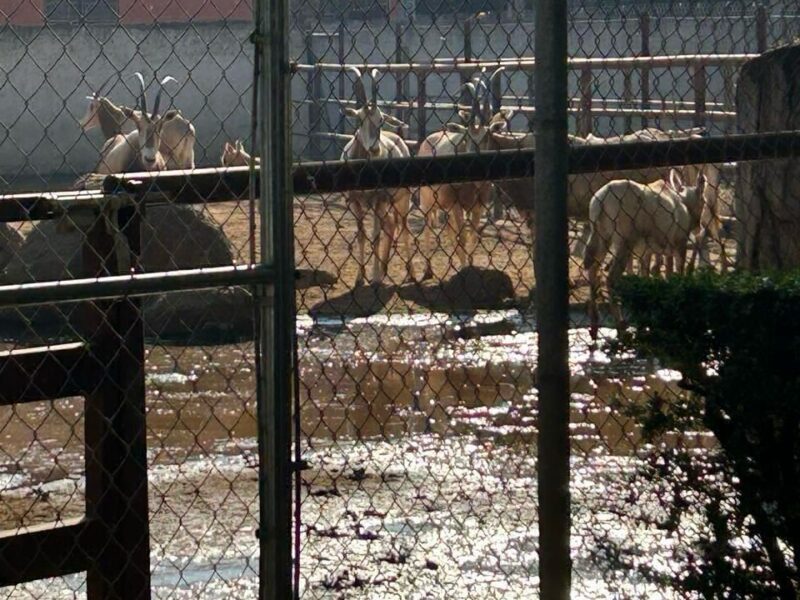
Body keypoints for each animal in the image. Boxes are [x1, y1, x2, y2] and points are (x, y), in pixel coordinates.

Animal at [340, 67, 416, 288]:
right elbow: (361, 236)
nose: (375, 149)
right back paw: (383, 270)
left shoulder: (376, 200)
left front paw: (373, 279)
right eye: (359, 120)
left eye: (380, 120)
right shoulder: (355, 202)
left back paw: (411, 273)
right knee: (390, 225)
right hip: (386, 205)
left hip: (400, 200)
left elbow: (374, 237)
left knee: (404, 227)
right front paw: (360, 278)